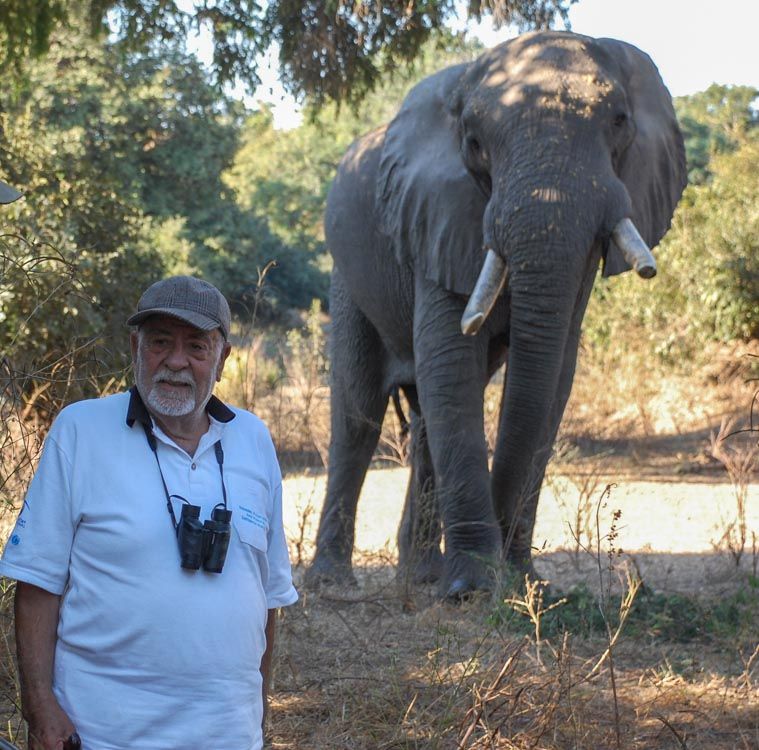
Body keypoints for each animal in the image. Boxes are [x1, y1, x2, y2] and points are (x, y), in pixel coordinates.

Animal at [304, 32, 688, 604]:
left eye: (620, 121)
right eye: (475, 143)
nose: (510, 566)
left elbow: (554, 377)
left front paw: (525, 585)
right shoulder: (436, 217)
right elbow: (451, 362)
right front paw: (472, 589)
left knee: (423, 420)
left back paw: (421, 577)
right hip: (347, 277)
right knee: (358, 414)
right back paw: (333, 583)